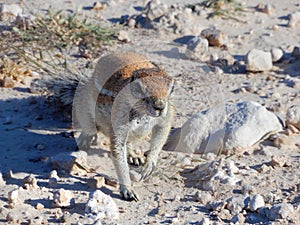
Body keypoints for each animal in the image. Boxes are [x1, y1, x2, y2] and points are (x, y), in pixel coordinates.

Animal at [46, 51, 175, 201]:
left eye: (171, 89)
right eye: (139, 89)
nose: (159, 106)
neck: (143, 114)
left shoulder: (166, 117)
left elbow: (161, 136)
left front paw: (149, 163)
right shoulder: (118, 121)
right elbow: (118, 152)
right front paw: (128, 189)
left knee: (129, 142)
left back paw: (133, 155)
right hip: (83, 100)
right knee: (88, 125)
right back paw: (85, 139)